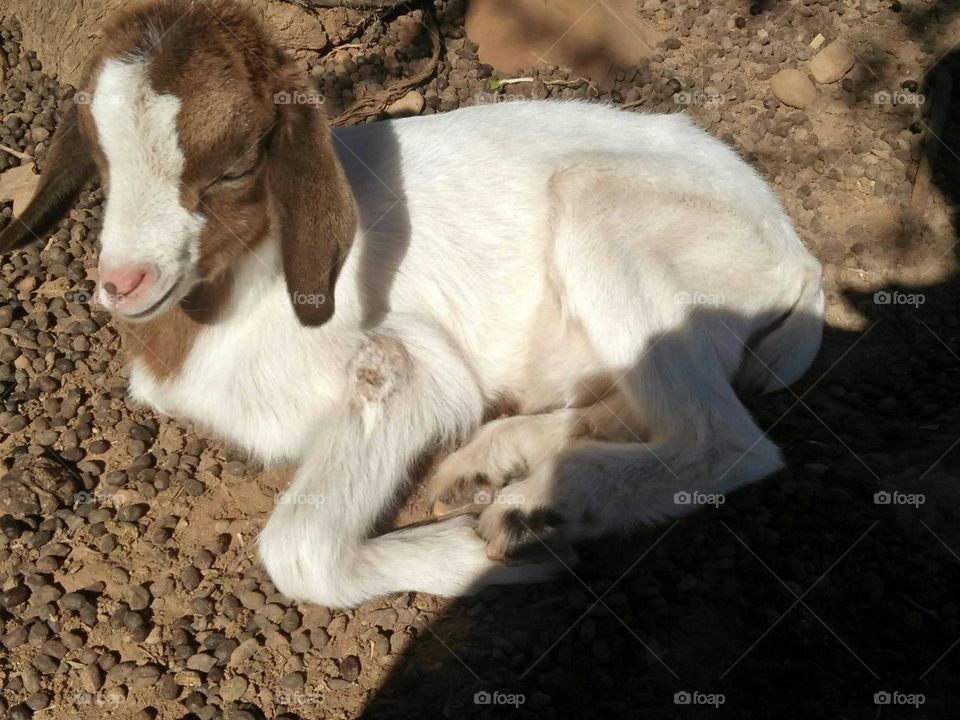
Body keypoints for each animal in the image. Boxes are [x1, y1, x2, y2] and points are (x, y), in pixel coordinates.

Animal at [1, 0, 824, 608]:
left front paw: (472, 557)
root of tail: (797, 257)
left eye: (237, 165)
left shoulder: (406, 365)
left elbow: (295, 550)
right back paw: (499, 462)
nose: (124, 282)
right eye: (99, 153)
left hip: (609, 214)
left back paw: (538, 510)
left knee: (724, 441)